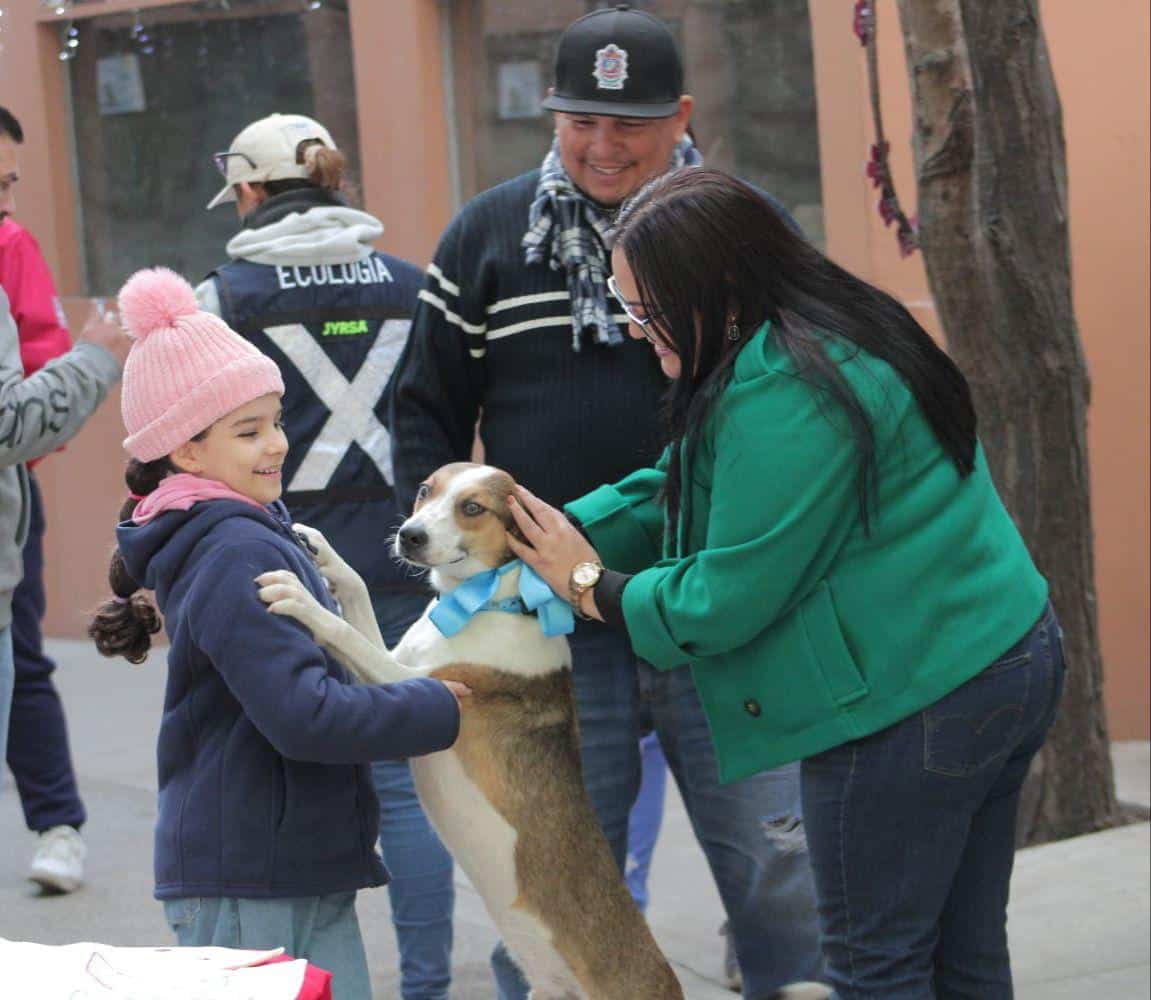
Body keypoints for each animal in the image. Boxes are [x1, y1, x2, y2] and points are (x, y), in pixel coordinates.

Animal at [261, 462, 685, 998]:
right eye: (426, 491)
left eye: (473, 508)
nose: (410, 535)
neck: (486, 603)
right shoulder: (395, 666)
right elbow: (356, 594)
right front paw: (321, 548)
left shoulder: (418, 688)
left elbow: (342, 631)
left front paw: (301, 599)